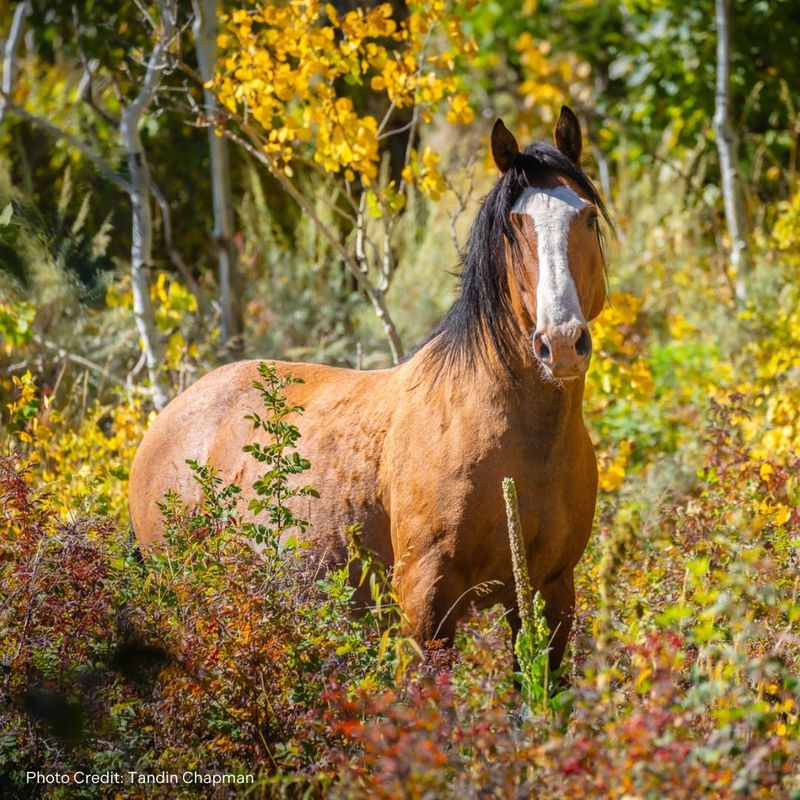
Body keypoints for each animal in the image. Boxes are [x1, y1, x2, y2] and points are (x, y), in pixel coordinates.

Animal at [128, 104, 608, 668]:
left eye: (587, 216)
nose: (561, 341)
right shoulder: (425, 602)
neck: (517, 442)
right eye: (514, 226)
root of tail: (163, 423)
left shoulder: (550, 594)